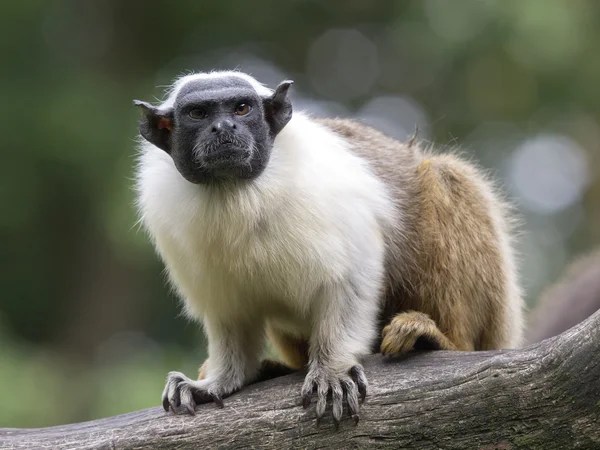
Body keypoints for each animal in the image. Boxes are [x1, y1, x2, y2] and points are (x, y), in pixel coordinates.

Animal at [134, 70, 524, 426]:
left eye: (241, 109)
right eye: (198, 114)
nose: (224, 127)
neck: (234, 194)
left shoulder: (329, 201)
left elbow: (352, 278)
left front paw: (333, 371)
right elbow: (231, 316)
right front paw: (220, 381)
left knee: (444, 175)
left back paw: (438, 339)